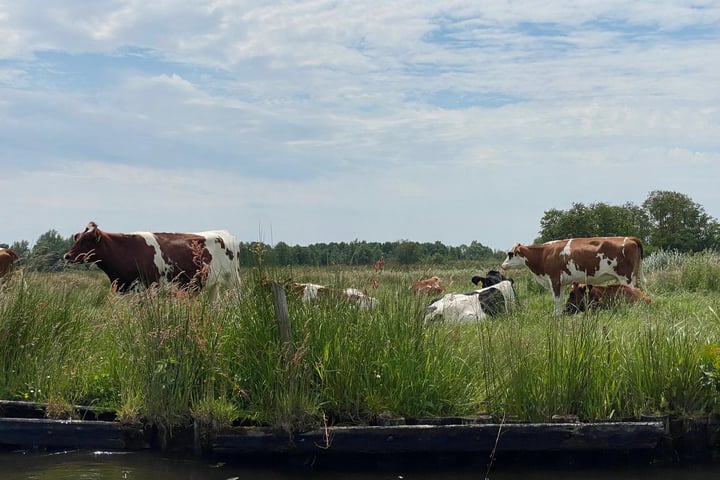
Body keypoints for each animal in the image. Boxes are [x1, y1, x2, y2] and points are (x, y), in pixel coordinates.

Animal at [64, 221, 242, 296]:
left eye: (87, 240)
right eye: (77, 237)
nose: (67, 255)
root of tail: (223, 232)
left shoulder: (151, 287)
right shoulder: (125, 289)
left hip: (233, 279)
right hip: (212, 283)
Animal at [500, 236, 648, 316]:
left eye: (510, 254)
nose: (502, 265)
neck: (544, 254)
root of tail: (629, 238)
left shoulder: (554, 279)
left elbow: (556, 299)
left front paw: (555, 315)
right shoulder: (561, 282)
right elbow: (560, 299)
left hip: (626, 277)